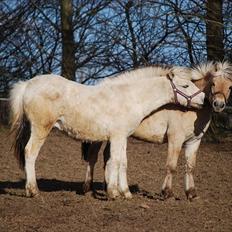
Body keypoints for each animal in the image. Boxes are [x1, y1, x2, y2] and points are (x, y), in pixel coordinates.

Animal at [10, 66, 205, 198]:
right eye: (185, 86)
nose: (204, 99)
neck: (130, 97)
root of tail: (27, 84)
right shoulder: (117, 136)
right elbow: (116, 161)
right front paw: (113, 193)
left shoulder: (122, 137)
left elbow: (122, 162)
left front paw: (125, 193)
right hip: (41, 128)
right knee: (30, 153)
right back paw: (33, 190)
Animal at [81, 61, 232, 199]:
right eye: (213, 83)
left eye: (230, 86)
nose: (218, 104)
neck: (191, 109)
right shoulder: (175, 139)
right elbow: (171, 166)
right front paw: (167, 193)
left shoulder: (194, 141)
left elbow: (190, 167)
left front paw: (191, 193)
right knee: (93, 157)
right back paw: (88, 188)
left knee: (107, 157)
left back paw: (108, 187)